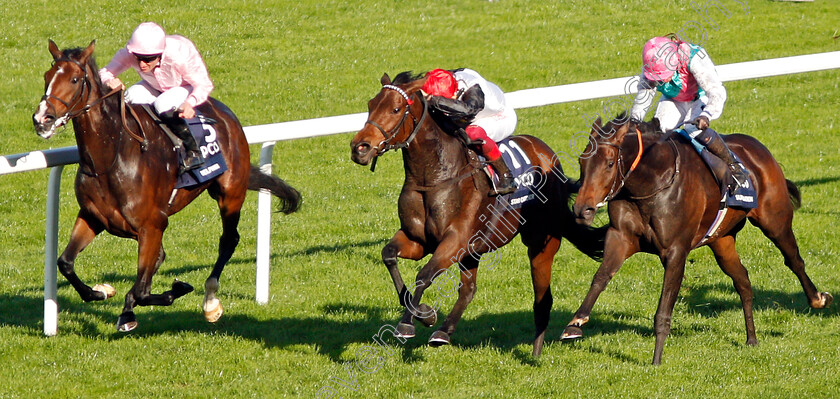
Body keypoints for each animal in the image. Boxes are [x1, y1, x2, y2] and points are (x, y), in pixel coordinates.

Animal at [32, 41, 302, 334]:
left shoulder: (153, 224)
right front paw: (102, 291)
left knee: (228, 241)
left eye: (74, 79)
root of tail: (226, 114)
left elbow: (142, 290)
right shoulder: (94, 217)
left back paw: (210, 300)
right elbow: (65, 263)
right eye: (47, 76)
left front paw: (170, 292)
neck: (112, 155)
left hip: (230, 193)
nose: (42, 119)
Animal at [348, 72, 604, 356]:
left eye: (395, 109)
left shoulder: (454, 241)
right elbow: (389, 255)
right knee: (469, 289)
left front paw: (408, 324)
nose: (360, 147)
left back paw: (537, 351)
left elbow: (423, 275)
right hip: (474, 249)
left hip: (540, 243)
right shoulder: (418, 240)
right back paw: (443, 332)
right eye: (370, 105)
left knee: (542, 297)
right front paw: (425, 314)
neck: (435, 176)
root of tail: (548, 155)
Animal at [568, 115, 832, 366]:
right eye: (582, 162)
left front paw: (656, 360)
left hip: (775, 221)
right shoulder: (620, 238)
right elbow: (601, 277)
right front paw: (575, 323)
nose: (582, 210)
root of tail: (758, 149)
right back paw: (751, 338)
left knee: (794, 260)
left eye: (609, 163)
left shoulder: (675, 252)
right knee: (743, 280)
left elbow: (663, 310)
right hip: (722, 240)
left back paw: (818, 299)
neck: (653, 183)